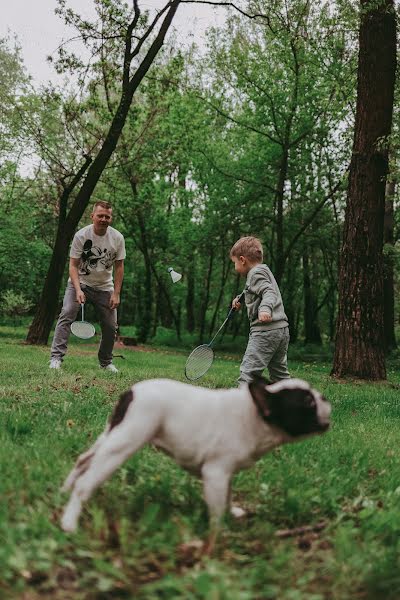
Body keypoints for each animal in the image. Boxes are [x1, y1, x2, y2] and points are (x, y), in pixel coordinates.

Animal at [61, 378, 332, 536]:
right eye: (307, 402)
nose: (324, 397)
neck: (254, 415)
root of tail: (132, 392)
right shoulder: (216, 473)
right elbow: (216, 508)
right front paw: (219, 534)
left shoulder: (226, 475)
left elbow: (228, 495)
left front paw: (232, 512)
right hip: (127, 440)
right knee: (86, 483)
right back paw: (69, 522)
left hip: (114, 432)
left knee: (84, 460)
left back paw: (63, 490)